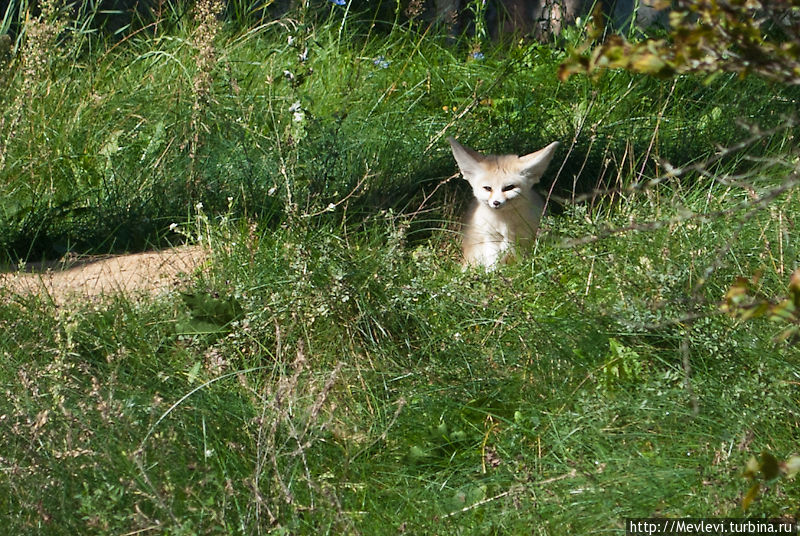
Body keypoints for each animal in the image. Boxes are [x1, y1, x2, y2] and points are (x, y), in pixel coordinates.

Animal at [446, 135, 560, 266]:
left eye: (509, 187)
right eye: (487, 188)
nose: (496, 203)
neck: (505, 222)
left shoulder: (523, 237)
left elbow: (521, 259)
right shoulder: (491, 239)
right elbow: (493, 263)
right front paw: (494, 271)